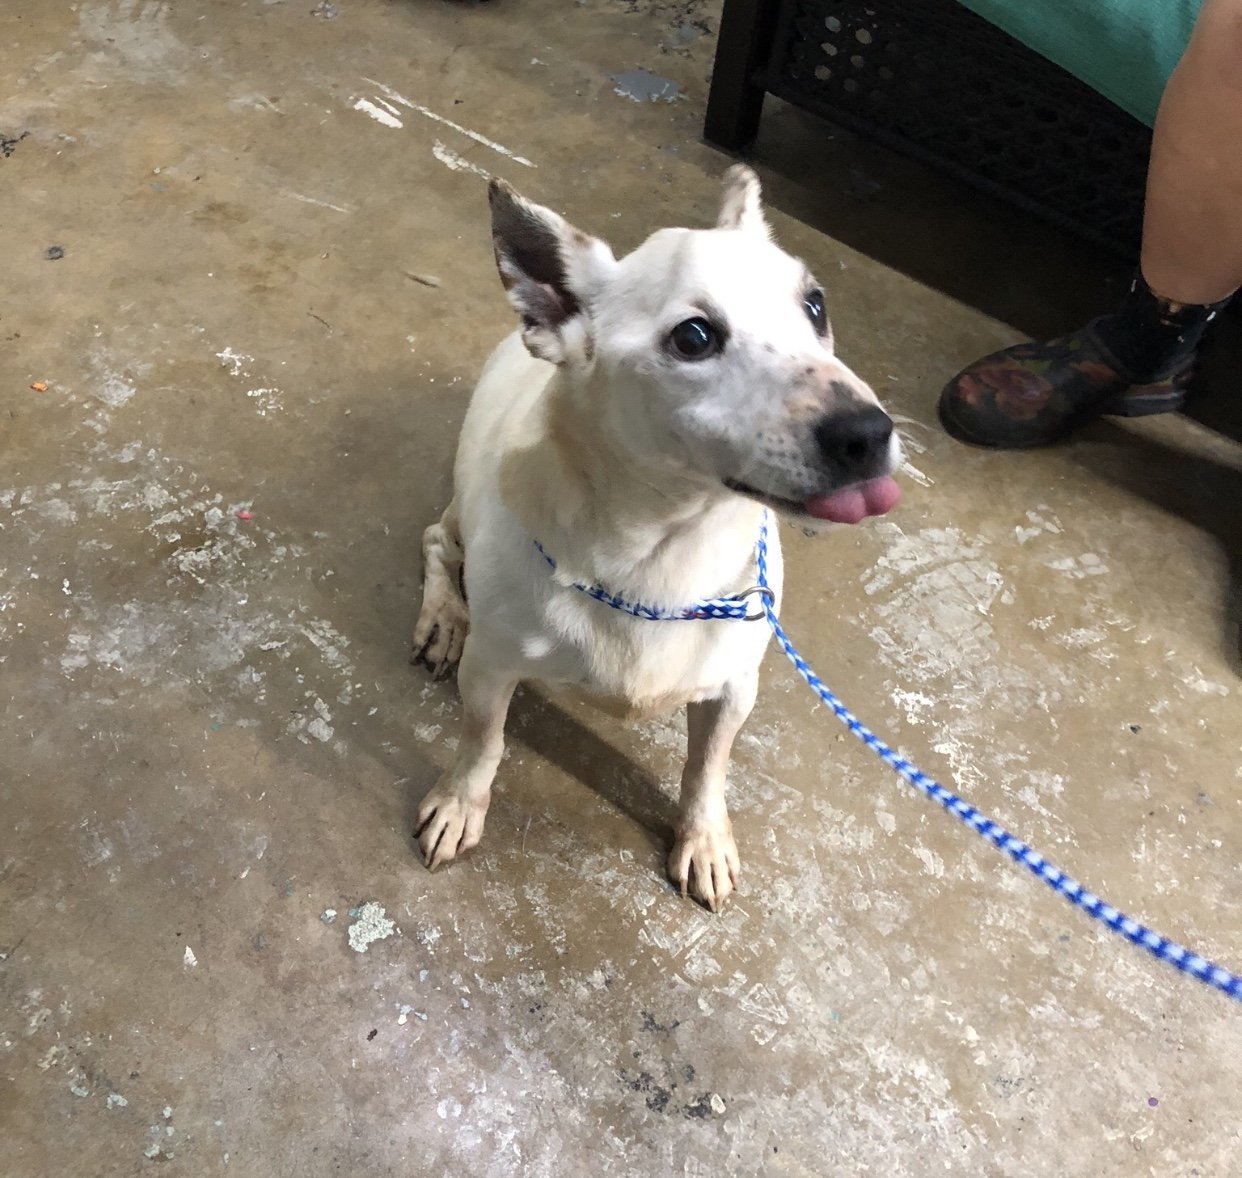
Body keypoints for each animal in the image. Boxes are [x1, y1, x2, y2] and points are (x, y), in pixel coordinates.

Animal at [412, 165, 899, 904]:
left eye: (815, 306)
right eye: (693, 338)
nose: (869, 432)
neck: (664, 550)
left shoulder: (734, 690)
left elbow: (708, 768)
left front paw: (704, 839)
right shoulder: (491, 670)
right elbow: (481, 742)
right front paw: (460, 803)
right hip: (459, 520)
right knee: (436, 546)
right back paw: (443, 618)